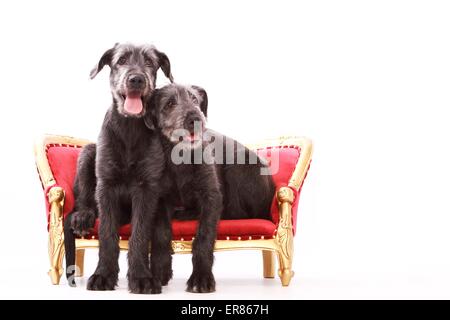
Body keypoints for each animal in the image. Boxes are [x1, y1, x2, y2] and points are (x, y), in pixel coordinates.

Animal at [64, 43, 173, 296]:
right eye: (121, 60)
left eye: (150, 62)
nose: (136, 80)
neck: (129, 129)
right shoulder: (107, 186)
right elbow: (106, 233)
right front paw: (103, 275)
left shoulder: (147, 189)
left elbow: (141, 235)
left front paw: (142, 277)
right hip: (88, 153)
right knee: (84, 198)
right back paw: (82, 216)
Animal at [146, 83, 276, 292]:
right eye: (170, 103)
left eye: (194, 99)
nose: (196, 119)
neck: (180, 159)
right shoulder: (159, 198)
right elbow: (161, 233)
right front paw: (159, 270)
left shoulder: (212, 196)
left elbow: (204, 235)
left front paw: (201, 278)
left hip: (239, 166)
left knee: (236, 213)